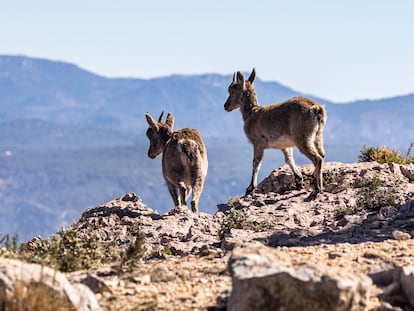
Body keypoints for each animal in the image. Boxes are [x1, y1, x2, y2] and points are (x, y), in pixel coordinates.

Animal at [223, 68, 326, 200]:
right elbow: (289, 159)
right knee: (322, 155)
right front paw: (299, 182)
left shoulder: (258, 143)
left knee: (317, 158)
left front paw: (250, 189)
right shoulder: (284, 145)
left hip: (302, 138)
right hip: (317, 136)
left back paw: (316, 190)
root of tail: (317, 109)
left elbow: (256, 163)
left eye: (232, 90)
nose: (226, 106)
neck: (251, 114)